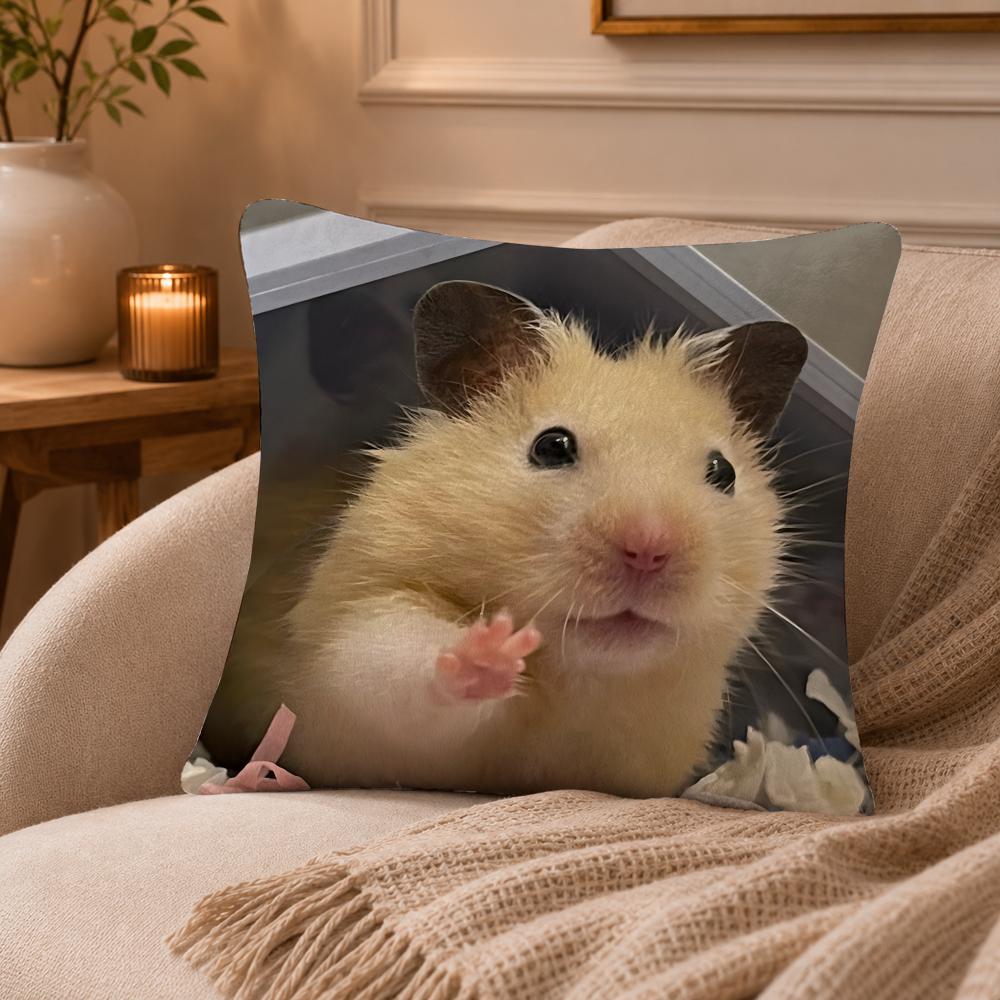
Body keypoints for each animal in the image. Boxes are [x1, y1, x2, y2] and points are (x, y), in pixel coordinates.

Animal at [281, 280, 807, 799]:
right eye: (551, 446)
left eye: (723, 472)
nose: (649, 550)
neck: (575, 679)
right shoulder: (353, 653)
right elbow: (396, 667)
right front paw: (491, 653)